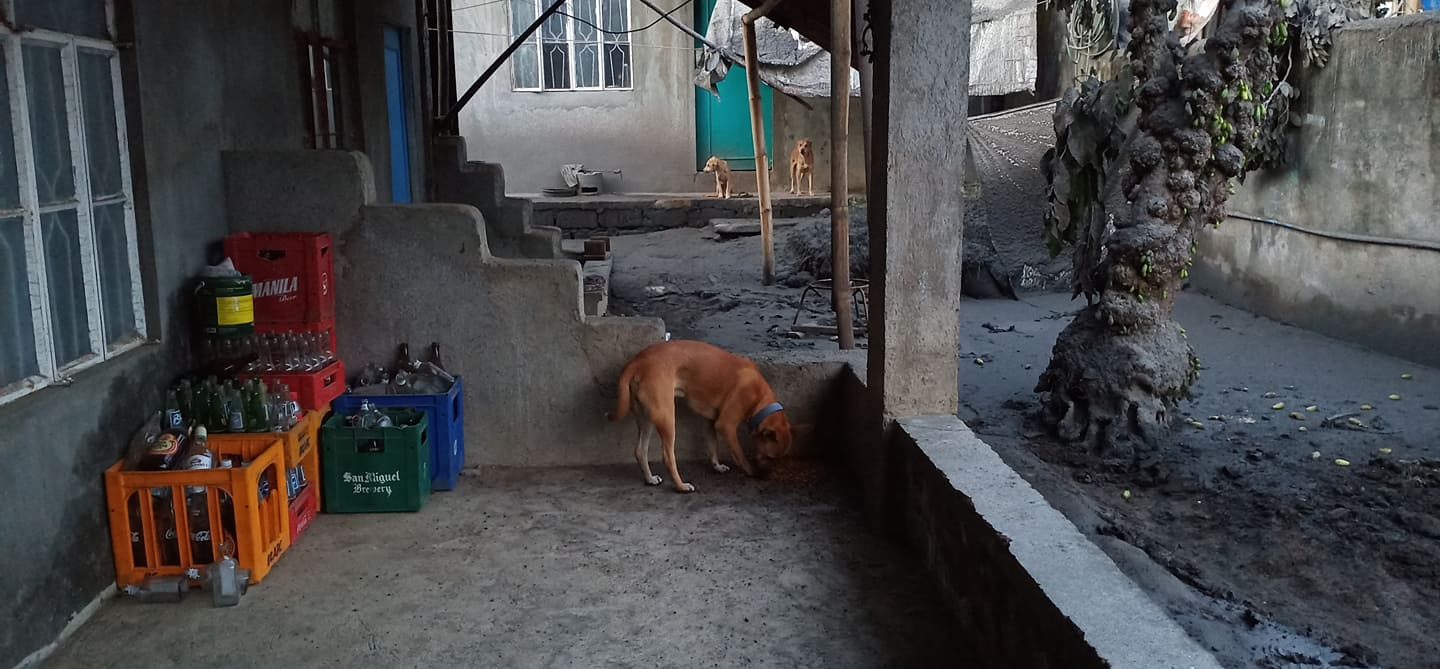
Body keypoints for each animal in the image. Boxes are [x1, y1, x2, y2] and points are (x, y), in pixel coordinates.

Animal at [604, 339, 794, 489]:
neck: (760, 399)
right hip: (667, 417)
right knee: (668, 457)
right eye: (769, 457)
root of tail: (637, 361)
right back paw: (680, 486)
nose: (767, 476)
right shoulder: (726, 425)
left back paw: (650, 479)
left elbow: (713, 446)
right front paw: (750, 470)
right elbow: (739, 454)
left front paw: (717, 466)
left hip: (647, 418)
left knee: (640, 451)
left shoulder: (711, 422)